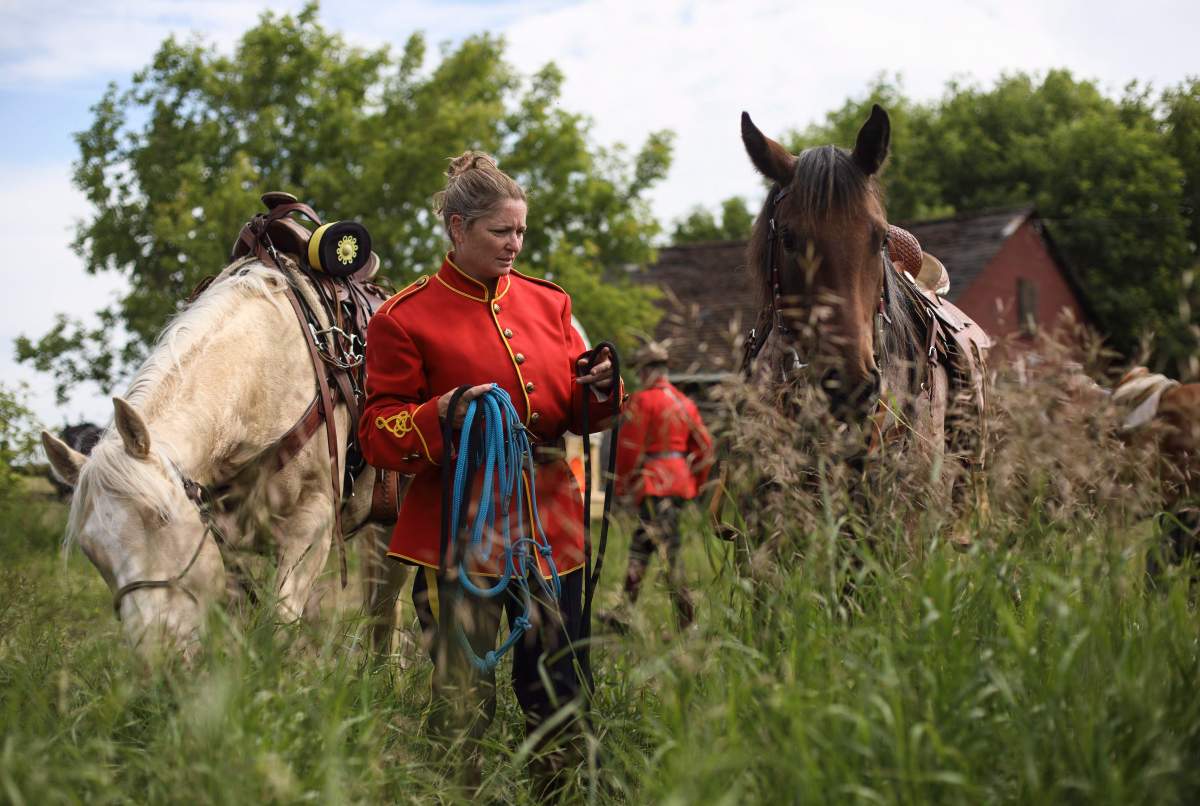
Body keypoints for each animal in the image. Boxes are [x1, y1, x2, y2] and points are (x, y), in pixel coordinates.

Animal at [41, 253, 408, 657]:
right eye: (91, 550)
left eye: (162, 516)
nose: (155, 653)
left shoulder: (312, 524)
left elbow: (278, 622)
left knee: (385, 610)